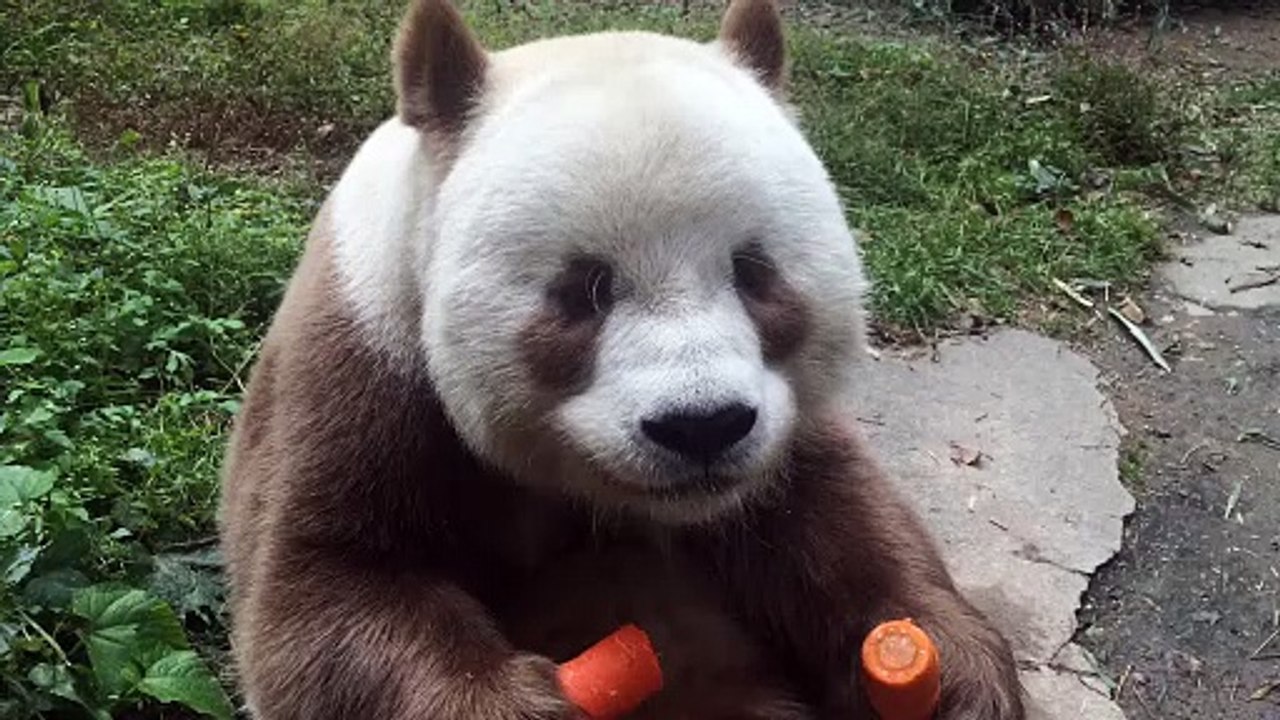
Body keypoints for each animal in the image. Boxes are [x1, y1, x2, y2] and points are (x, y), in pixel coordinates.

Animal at [217, 1, 1026, 718]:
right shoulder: (365, 366)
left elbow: (836, 517)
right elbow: (324, 587)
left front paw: (950, 673)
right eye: (587, 289)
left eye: (753, 272)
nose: (702, 426)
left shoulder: (786, 423)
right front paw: (517, 703)